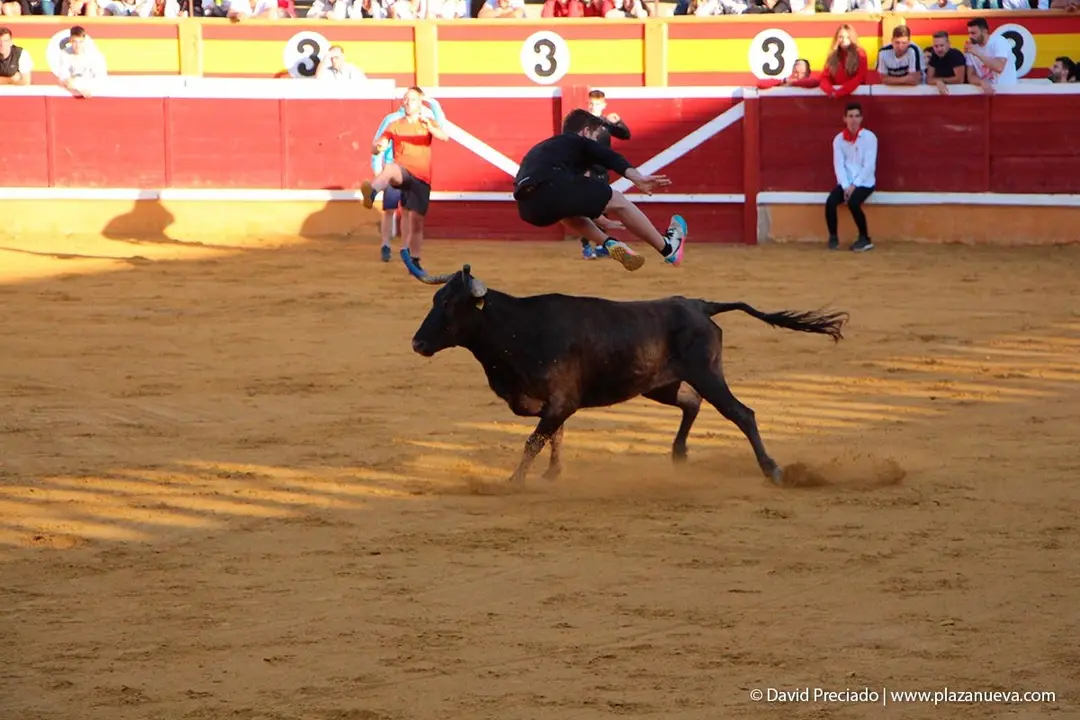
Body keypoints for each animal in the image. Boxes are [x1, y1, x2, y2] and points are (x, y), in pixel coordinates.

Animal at [402, 251, 848, 487]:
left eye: (450, 304)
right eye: (434, 300)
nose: (417, 343)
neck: (517, 329)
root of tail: (700, 304)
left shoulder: (560, 400)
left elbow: (535, 440)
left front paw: (515, 482)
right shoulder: (555, 404)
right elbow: (553, 436)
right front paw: (552, 475)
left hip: (707, 373)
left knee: (741, 413)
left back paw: (772, 469)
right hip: (659, 384)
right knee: (691, 403)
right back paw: (679, 455)